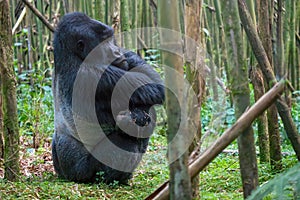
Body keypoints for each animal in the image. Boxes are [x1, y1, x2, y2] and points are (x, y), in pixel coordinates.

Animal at [51, 12, 164, 184]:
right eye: (104, 43)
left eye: (111, 39)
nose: (117, 52)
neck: (71, 55)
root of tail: (66, 174)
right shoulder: (93, 76)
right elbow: (154, 89)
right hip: (80, 172)